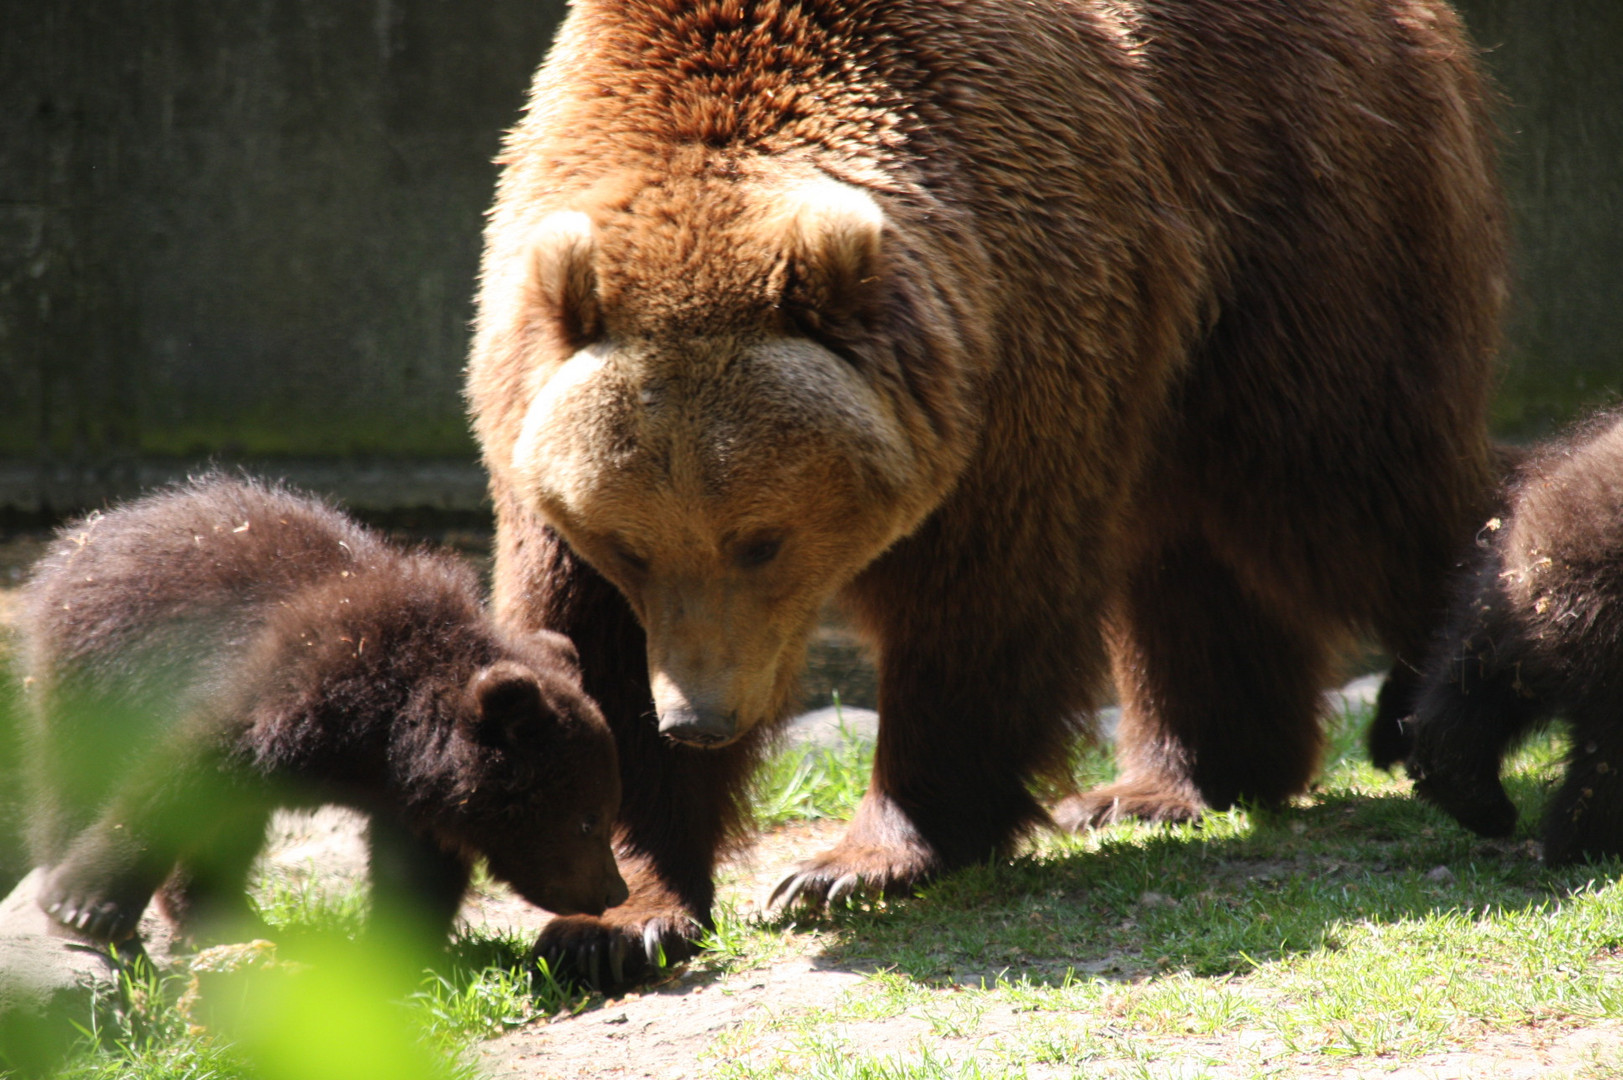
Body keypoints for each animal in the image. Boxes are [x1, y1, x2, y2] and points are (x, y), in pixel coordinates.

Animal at [470, 0, 1506, 987]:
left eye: (762, 538)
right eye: (631, 544)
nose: (699, 719)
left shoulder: (1016, 346)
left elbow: (981, 604)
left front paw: (853, 863)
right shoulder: (543, 440)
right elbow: (588, 649)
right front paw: (617, 921)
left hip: (1297, 211)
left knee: (1348, 482)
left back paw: (1439, 712)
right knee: (1190, 549)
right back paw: (1165, 785)